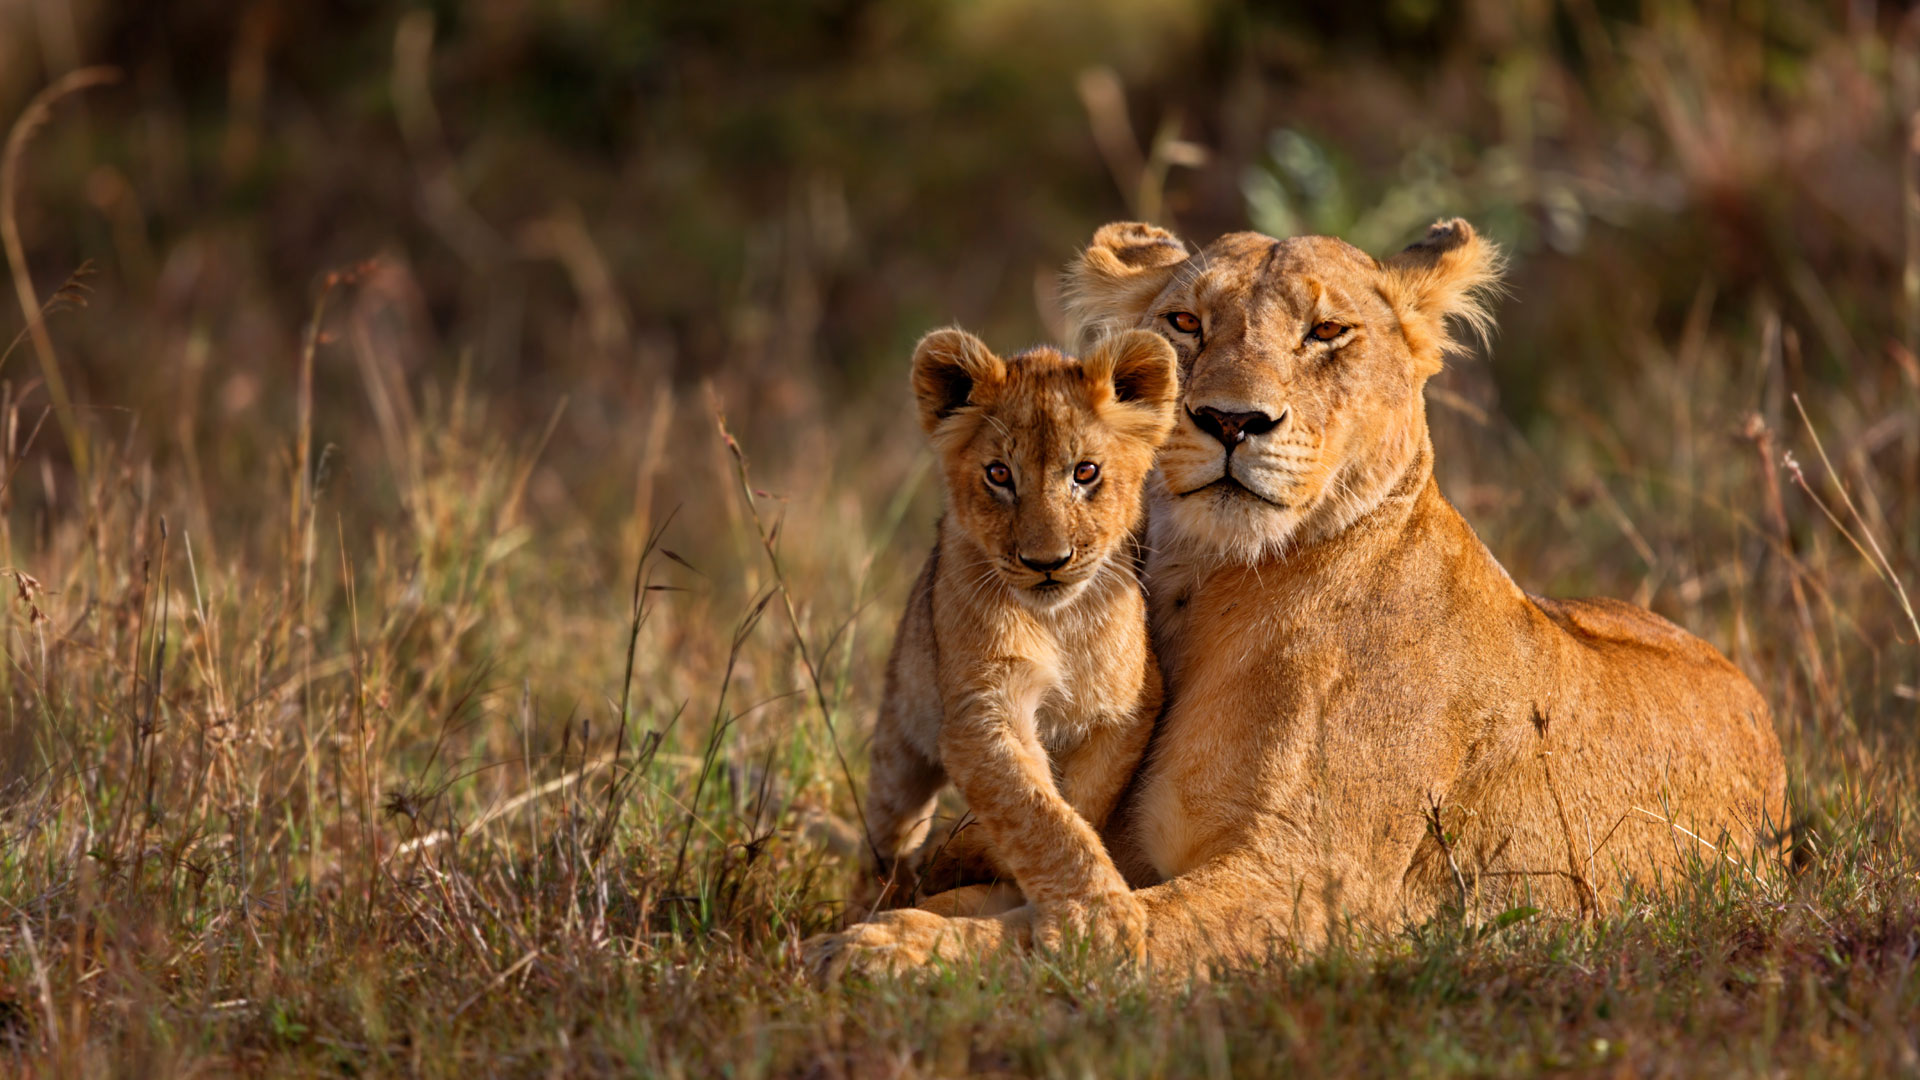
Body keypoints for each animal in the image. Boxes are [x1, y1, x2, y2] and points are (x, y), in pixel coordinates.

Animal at [842, 326, 1178, 947]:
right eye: (999, 474)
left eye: (1085, 472)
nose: (1047, 562)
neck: (1057, 622)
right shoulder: (981, 711)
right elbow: (1035, 811)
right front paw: (1098, 918)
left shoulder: (1127, 707)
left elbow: (1077, 801)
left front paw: (967, 854)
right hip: (899, 739)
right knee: (886, 832)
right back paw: (872, 898)